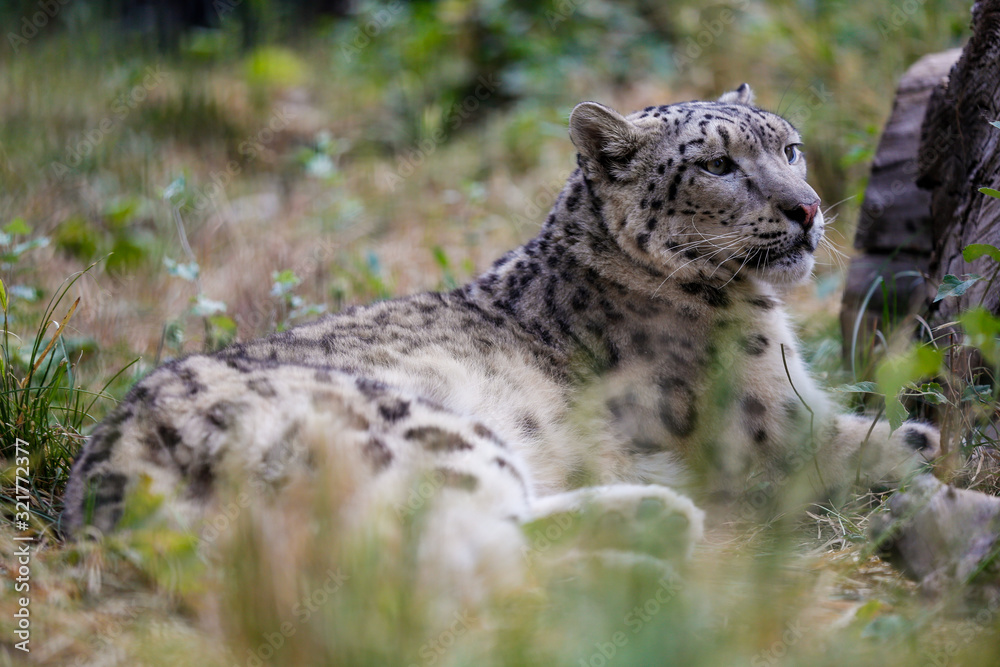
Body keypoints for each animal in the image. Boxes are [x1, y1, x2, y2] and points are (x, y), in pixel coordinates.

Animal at [62, 84, 940, 594]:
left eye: (789, 146)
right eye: (719, 165)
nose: (807, 207)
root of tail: (118, 468)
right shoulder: (775, 424)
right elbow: (869, 442)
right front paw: (929, 446)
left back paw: (653, 514)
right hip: (427, 430)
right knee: (459, 561)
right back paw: (646, 546)